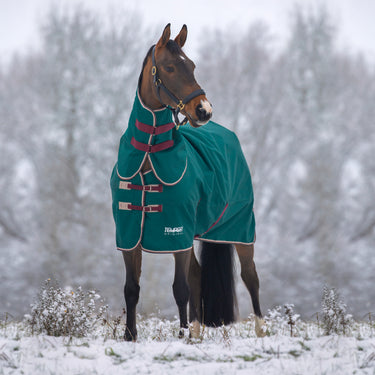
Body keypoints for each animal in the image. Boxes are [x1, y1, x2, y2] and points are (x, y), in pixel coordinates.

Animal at [110, 22, 266, 340]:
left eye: (192, 65)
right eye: (169, 67)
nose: (204, 110)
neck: (149, 155)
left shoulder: (176, 232)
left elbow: (180, 288)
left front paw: (181, 335)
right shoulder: (129, 236)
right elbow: (132, 289)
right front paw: (131, 336)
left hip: (240, 229)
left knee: (250, 276)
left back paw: (259, 330)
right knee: (197, 274)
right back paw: (196, 330)